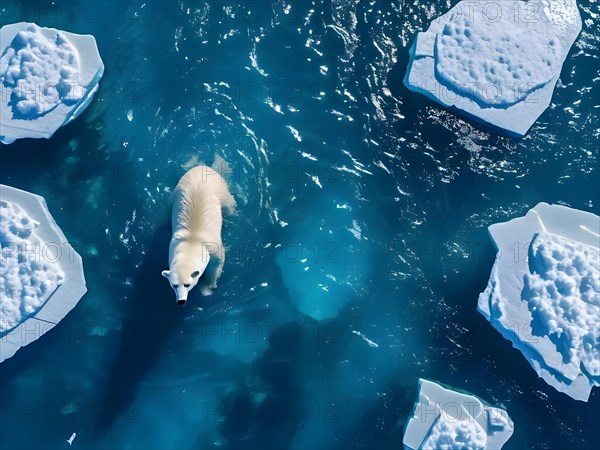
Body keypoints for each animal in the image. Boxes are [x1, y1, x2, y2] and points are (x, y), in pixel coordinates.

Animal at [162, 156, 237, 306]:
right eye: (174, 285)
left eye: (187, 284)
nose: (181, 301)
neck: (192, 239)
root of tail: (203, 167)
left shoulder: (214, 247)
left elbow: (217, 263)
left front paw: (210, 285)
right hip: (178, 189)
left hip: (219, 189)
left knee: (228, 205)